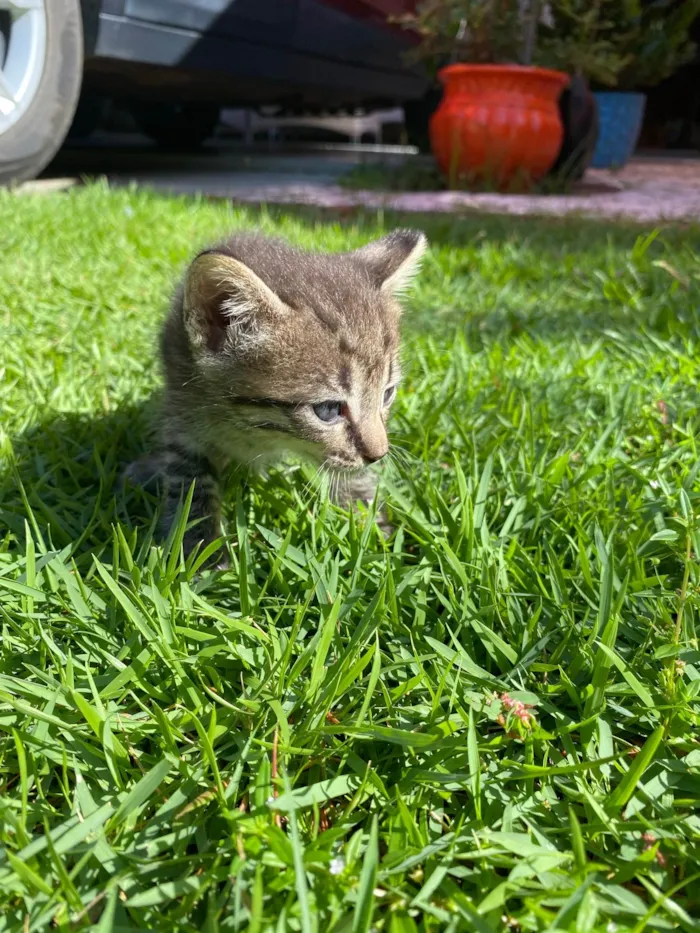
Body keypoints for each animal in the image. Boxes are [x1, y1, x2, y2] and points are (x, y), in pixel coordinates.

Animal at [129, 228, 430, 556]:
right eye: (328, 410)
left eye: (387, 394)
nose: (379, 455)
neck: (253, 430)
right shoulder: (183, 411)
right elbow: (190, 482)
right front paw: (201, 547)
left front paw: (369, 522)